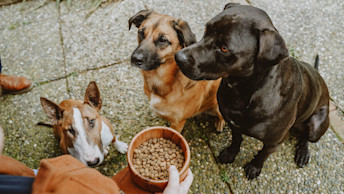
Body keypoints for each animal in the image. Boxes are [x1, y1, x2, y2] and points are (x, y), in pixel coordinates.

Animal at [176, 3, 330, 179]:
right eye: (206, 29)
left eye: (224, 48)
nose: (178, 57)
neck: (242, 91)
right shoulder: (233, 124)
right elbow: (236, 140)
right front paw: (230, 153)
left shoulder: (274, 142)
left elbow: (262, 154)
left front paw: (254, 167)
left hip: (316, 126)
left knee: (306, 137)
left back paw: (303, 152)